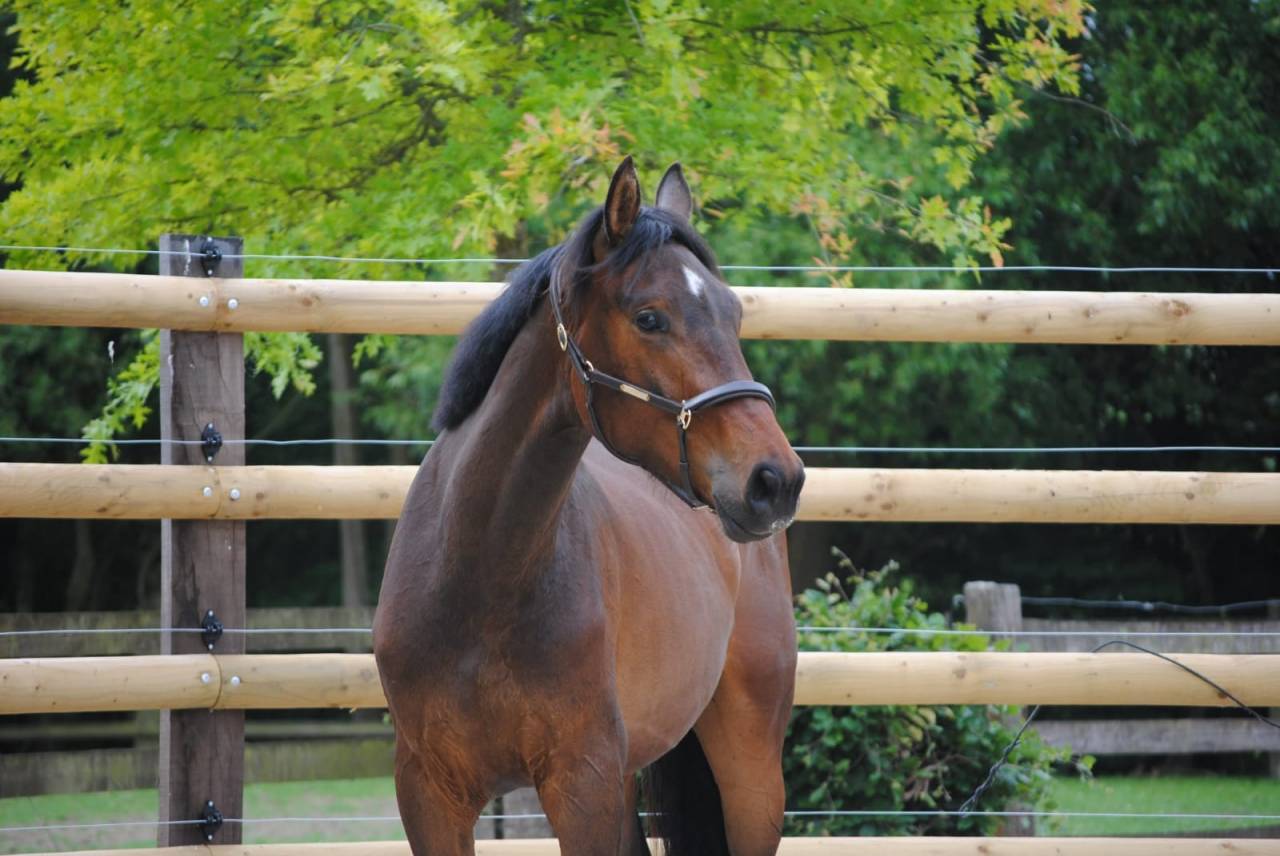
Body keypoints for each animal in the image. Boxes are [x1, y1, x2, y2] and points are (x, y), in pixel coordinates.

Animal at [373, 157, 805, 856]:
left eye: (734, 313)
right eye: (650, 318)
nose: (775, 481)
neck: (479, 577)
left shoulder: (584, 786)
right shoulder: (429, 796)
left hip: (751, 774)